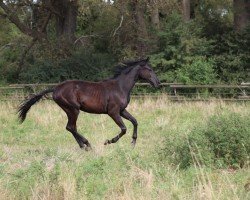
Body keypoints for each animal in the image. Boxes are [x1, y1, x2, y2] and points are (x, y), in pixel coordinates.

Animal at [18, 57, 161, 149]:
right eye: (149, 69)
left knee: (71, 127)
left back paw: (83, 145)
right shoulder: (113, 112)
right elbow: (124, 129)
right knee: (70, 127)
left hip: (70, 110)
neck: (120, 87)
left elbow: (135, 121)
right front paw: (108, 141)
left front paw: (133, 142)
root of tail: (56, 89)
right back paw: (87, 144)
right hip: (73, 109)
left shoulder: (122, 110)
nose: (158, 83)